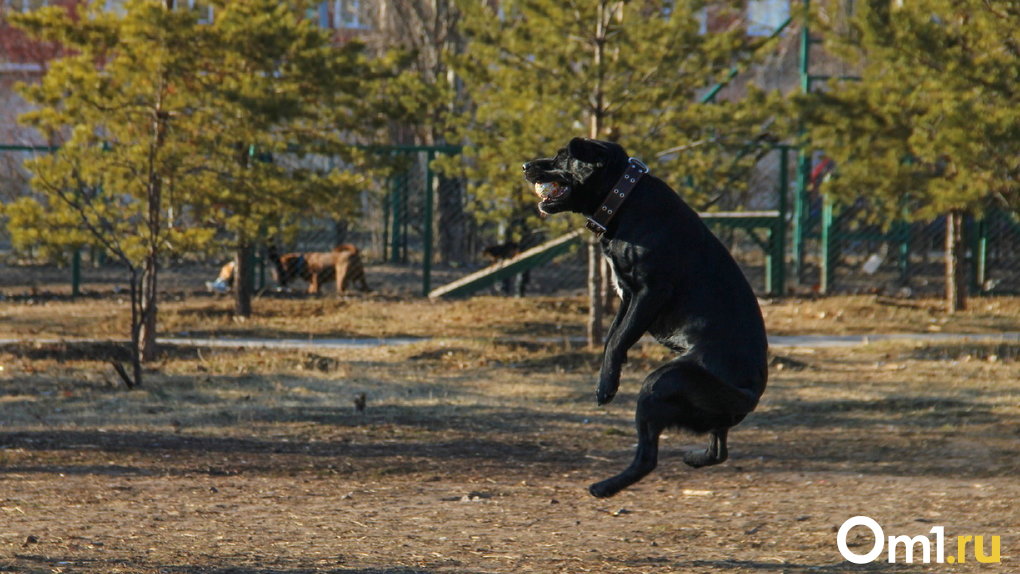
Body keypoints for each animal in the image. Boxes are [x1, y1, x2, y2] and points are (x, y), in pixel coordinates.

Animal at [522, 137, 767, 499]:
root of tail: (750, 394)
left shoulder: (650, 292)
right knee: (718, 449)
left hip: (660, 383)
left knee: (648, 458)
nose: (525, 165)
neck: (624, 197)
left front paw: (606, 387)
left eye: (562, 156)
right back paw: (693, 458)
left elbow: (617, 340)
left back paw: (604, 487)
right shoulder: (625, 296)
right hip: (697, 411)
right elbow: (613, 337)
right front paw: (606, 376)